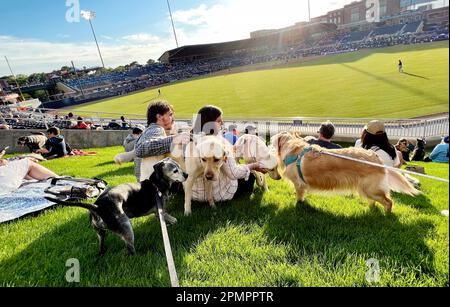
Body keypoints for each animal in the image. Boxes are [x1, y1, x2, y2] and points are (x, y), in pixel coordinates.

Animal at [48, 158, 189, 256]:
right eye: (175, 171)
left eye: (180, 166)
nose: (187, 174)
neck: (156, 184)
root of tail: (97, 206)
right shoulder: (160, 211)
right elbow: (172, 218)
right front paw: (173, 223)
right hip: (126, 227)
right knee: (130, 250)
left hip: (100, 233)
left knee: (102, 247)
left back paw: (102, 254)